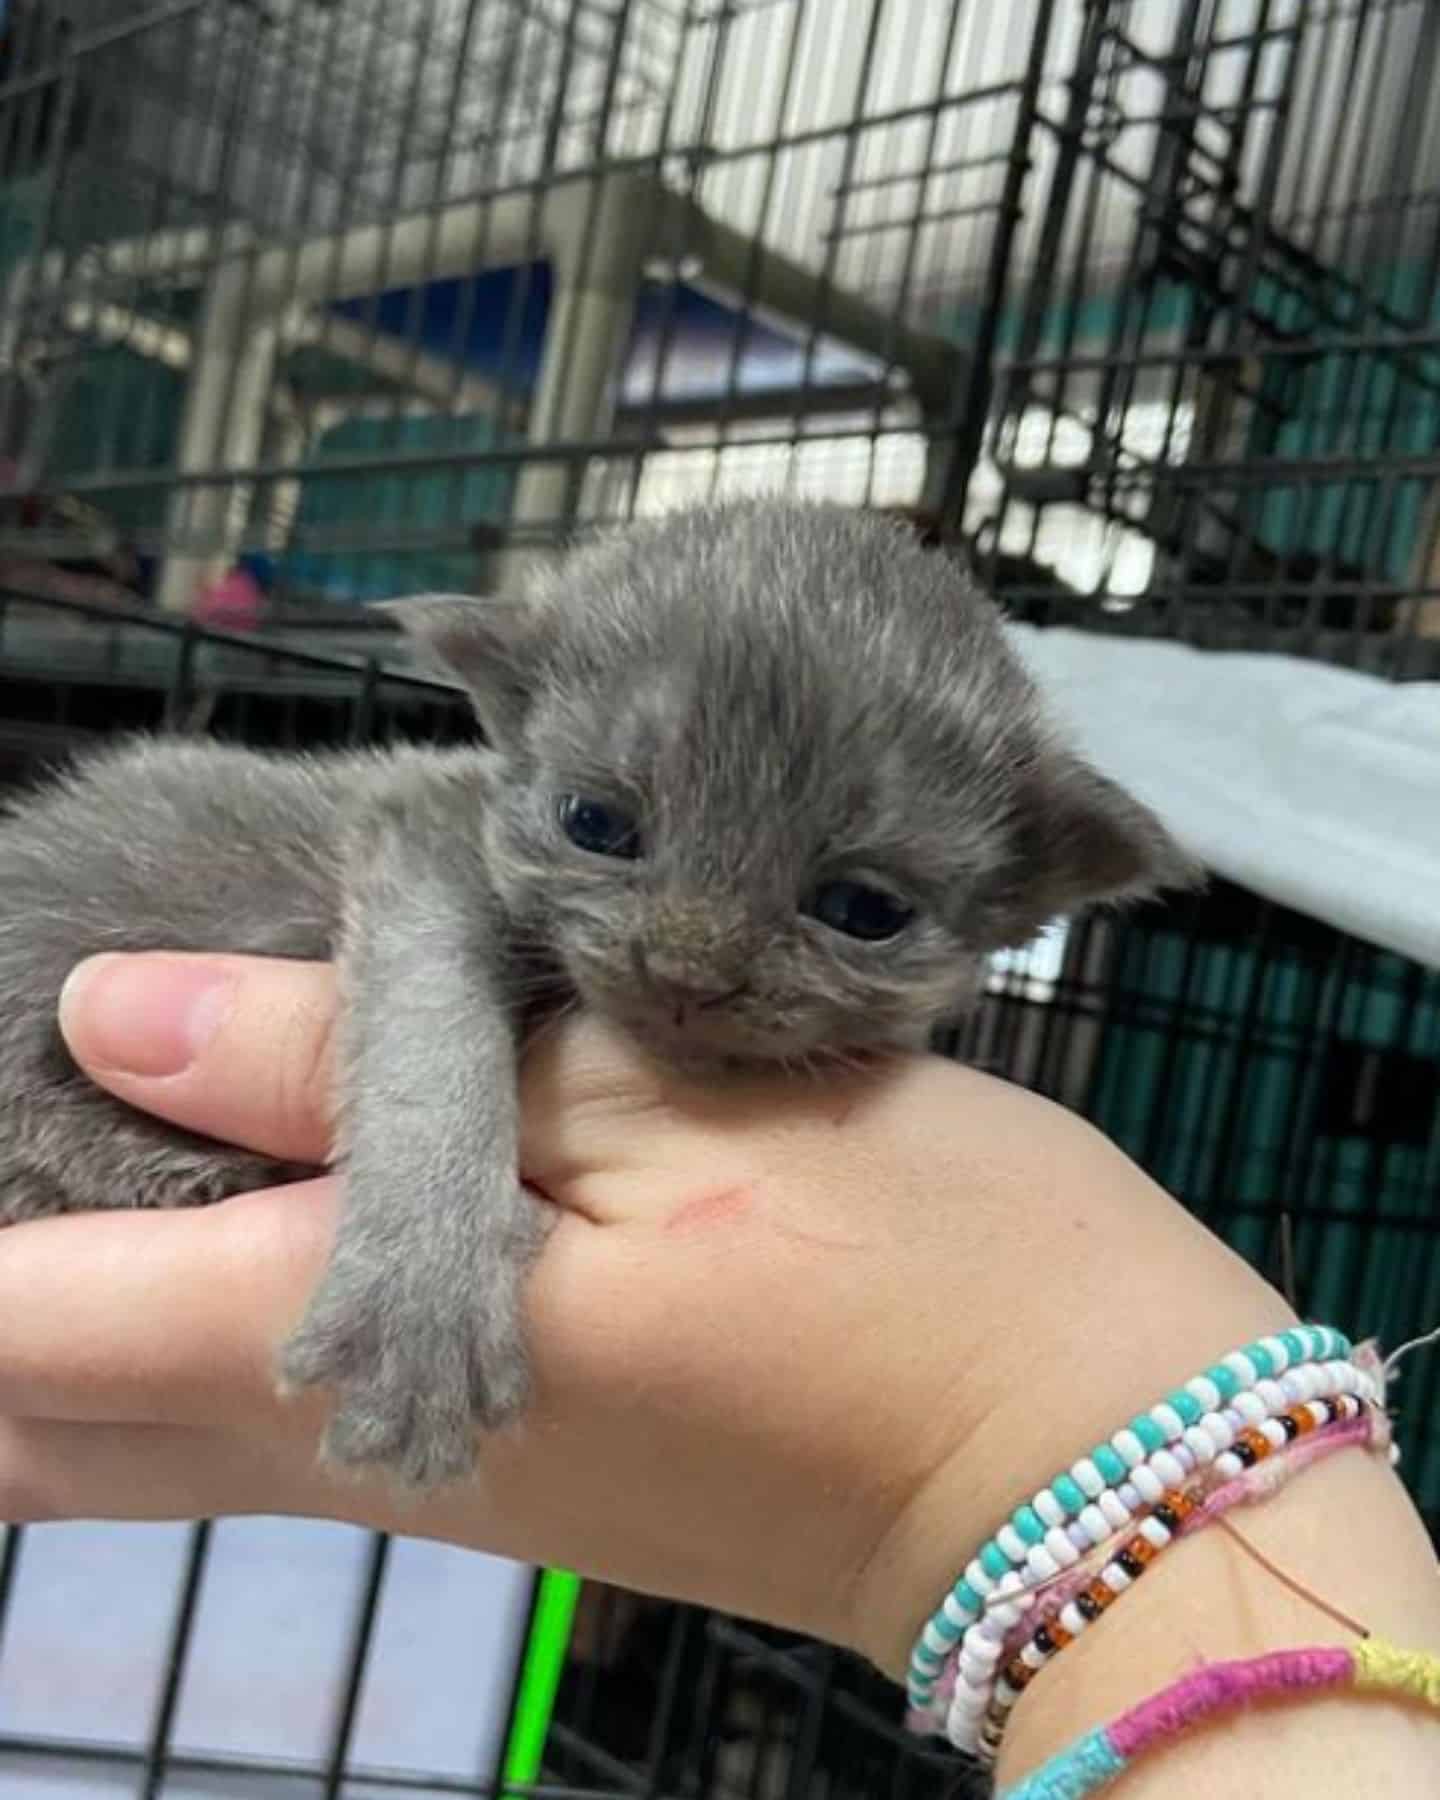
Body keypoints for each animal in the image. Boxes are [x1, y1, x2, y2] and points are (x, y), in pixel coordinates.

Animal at [0, 500, 1195, 1483]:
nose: (689, 968)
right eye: (598, 825)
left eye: (862, 909)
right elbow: (434, 1042)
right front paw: (425, 1303)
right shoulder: (423, 821)